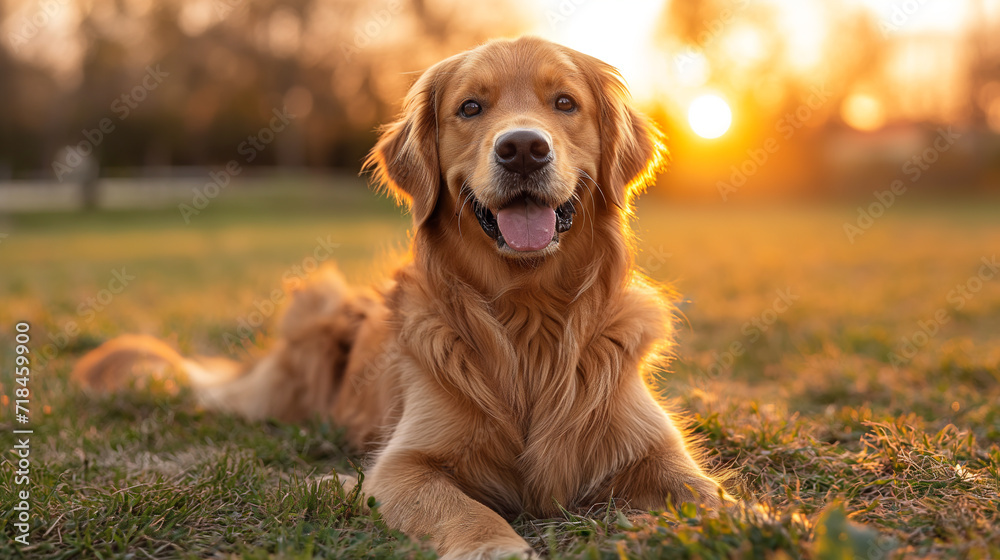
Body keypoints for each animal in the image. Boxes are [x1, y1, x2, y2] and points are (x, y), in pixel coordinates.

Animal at [76, 36, 728, 560]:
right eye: (471, 107)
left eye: (565, 103)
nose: (522, 148)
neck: (529, 313)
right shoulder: (403, 464)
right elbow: (464, 508)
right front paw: (493, 546)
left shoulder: (656, 450)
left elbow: (713, 495)